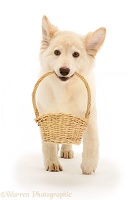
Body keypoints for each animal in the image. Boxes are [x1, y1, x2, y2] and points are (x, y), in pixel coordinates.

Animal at [35, 15, 106, 174]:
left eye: (76, 54)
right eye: (57, 52)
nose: (64, 70)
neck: (64, 89)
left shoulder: (89, 113)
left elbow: (92, 140)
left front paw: (89, 165)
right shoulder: (45, 113)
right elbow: (47, 143)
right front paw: (52, 162)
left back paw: (66, 150)